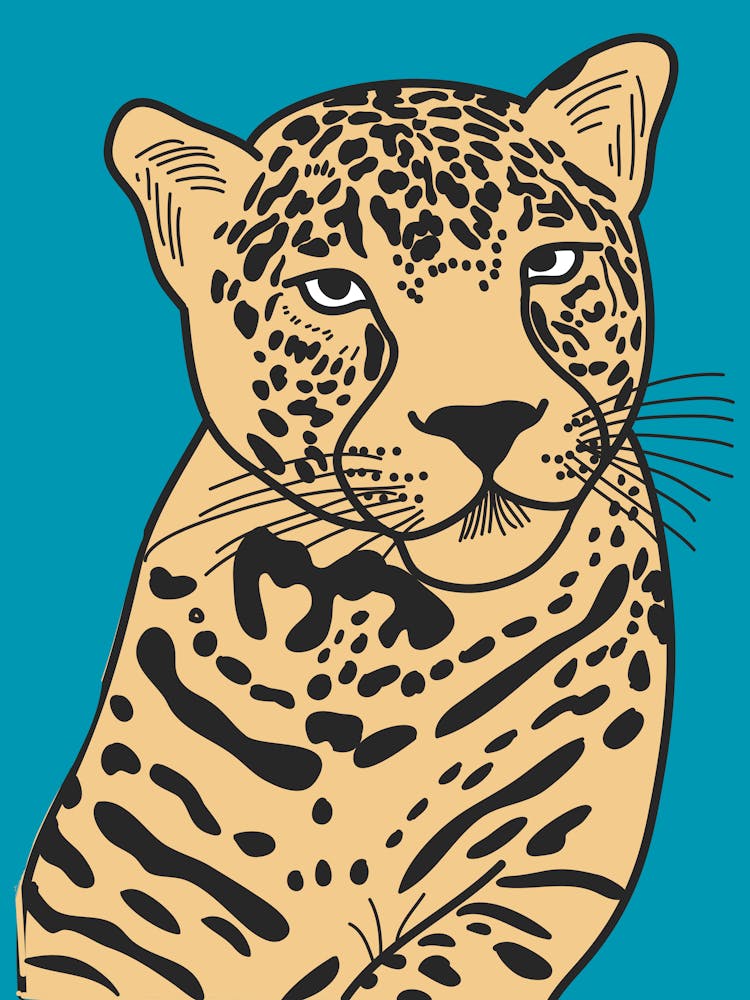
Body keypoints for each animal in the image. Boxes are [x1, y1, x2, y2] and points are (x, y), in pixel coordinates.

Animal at [17, 34, 678, 1000]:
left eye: (551, 264)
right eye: (333, 291)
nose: (487, 420)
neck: (377, 653)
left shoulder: (541, 871)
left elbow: (423, 976)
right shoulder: (96, 908)